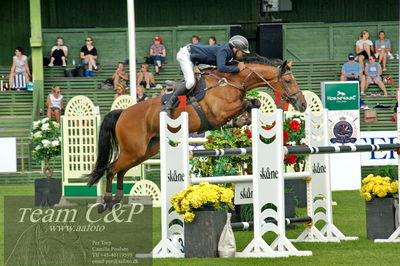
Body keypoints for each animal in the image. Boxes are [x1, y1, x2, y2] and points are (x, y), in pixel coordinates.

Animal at [86, 57, 308, 211]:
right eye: (289, 80)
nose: (303, 104)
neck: (232, 80)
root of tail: (122, 113)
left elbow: (254, 103)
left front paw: (241, 120)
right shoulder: (219, 113)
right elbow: (248, 103)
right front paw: (242, 117)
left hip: (144, 151)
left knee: (120, 170)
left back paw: (116, 199)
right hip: (135, 150)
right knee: (111, 168)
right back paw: (106, 202)